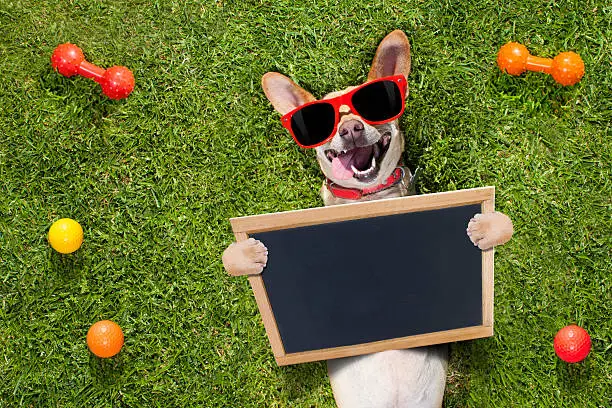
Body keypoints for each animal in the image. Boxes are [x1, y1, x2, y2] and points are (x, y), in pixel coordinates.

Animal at [222, 31, 512, 408]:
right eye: (327, 123)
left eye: (369, 110)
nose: (351, 129)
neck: (369, 197)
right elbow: (232, 256)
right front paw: (250, 253)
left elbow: (500, 223)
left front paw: (485, 227)